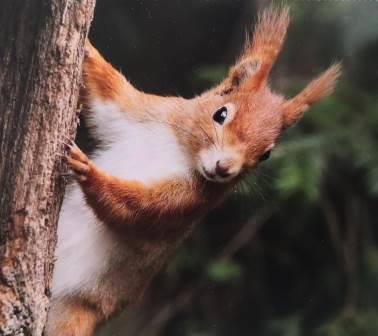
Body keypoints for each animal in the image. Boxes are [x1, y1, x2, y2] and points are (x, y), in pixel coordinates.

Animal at [45, 5, 342, 336]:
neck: (181, 151)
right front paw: (84, 46)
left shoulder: (189, 201)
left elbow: (135, 208)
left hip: (71, 318)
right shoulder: (141, 112)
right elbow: (107, 89)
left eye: (266, 154)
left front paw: (87, 171)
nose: (225, 168)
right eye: (221, 113)